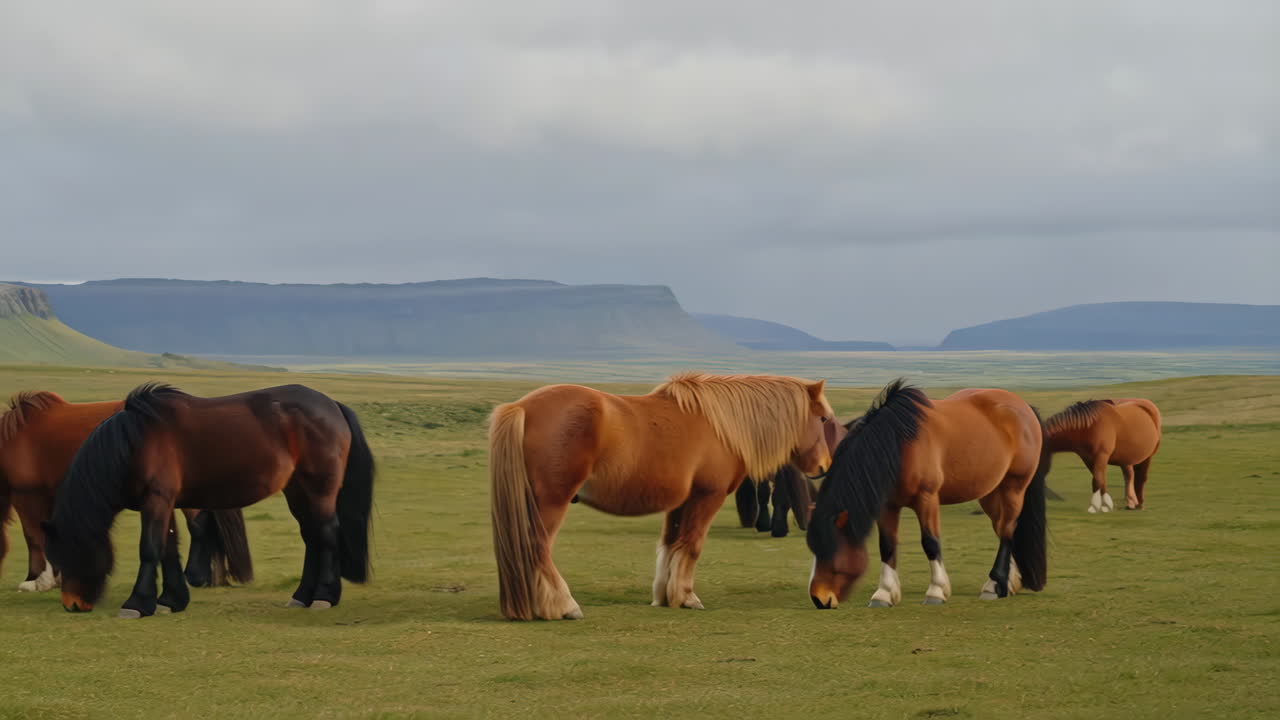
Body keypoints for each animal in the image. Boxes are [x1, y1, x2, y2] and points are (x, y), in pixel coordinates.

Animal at [42, 383, 374, 617]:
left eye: (70, 553)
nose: (72, 604)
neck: (134, 442)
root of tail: (332, 406)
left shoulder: (157, 500)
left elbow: (150, 549)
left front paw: (137, 603)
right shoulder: (165, 502)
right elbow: (168, 549)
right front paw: (171, 600)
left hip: (319, 488)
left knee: (327, 534)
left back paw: (324, 596)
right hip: (297, 490)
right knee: (312, 537)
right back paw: (302, 595)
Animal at [489, 373, 844, 620]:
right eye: (823, 418)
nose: (824, 466)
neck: (721, 427)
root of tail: (521, 407)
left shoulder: (680, 503)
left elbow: (672, 545)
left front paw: (664, 596)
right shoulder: (707, 497)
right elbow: (693, 546)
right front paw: (687, 597)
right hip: (551, 501)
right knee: (537, 547)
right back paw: (564, 606)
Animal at [807, 380, 1048, 609]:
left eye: (832, 551)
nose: (819, 599)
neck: (899, 445)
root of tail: (1023, 407)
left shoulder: (927, 498)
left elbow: (931, 542)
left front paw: (936, 591)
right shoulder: (888, 505)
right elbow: (887, 546)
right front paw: (884, 594)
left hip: (1013, 487)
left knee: (1007, 530)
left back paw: (995, 585)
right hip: (990, 493)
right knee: (1002, 528)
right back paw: (1008, 583)